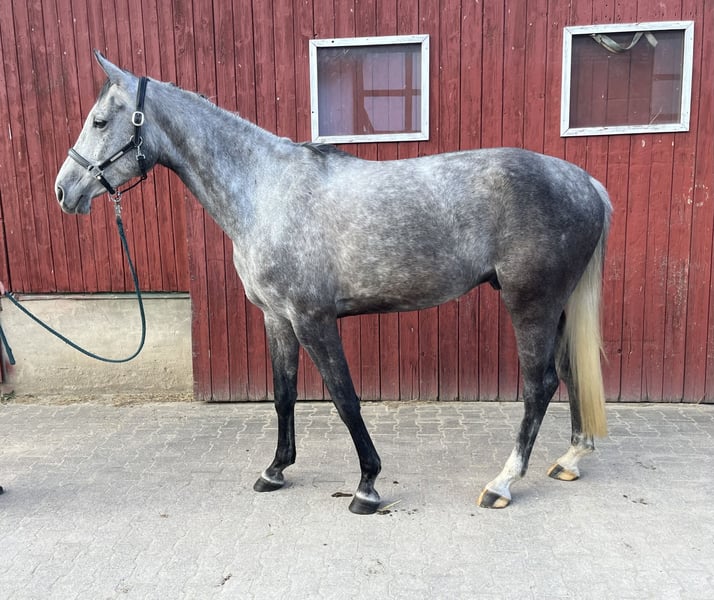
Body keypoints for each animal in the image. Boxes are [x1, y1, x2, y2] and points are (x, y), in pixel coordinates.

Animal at [55, 52, 612, 514]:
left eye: (100, 121)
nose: (64, 190)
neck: (264, 191)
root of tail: (585, 181)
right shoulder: (277, 318)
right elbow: (283, 394)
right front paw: (275, 470)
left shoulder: (313, 318)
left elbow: (345, 399)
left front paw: (367, 485)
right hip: (556, 306)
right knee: (568, 372)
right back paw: (569, 460)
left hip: (531, 304)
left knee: (539, 385)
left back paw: (502, 483)